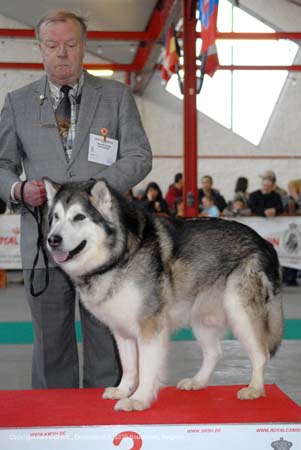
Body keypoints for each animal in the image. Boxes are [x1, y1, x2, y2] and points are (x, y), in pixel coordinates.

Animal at [43, 178, 282, 410]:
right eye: (55, 217)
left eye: (79, 217)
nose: (52, 239)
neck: (120, 256)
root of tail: (264, 241)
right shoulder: (121, 330)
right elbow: (129, 366)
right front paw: (123, 390)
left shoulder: (149, 326)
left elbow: (146, 367)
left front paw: (138, 399)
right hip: (203, 319)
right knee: (215, 353)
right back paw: (198, 382)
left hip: (240, 312)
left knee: (261, 354)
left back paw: (254, 388)